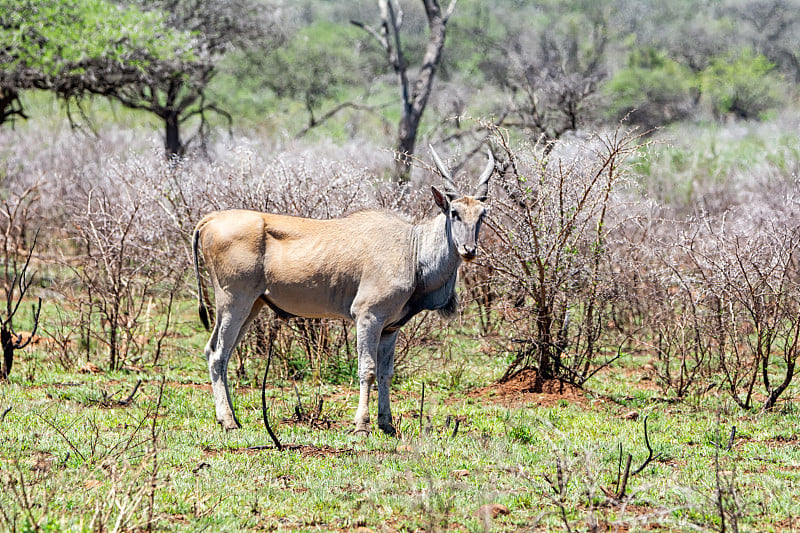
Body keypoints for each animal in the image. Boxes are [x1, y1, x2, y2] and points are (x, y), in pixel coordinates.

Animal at [194, 147, 494, 436]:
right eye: (454, 213)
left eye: (482, 215)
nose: (469, 250)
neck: (413, 248)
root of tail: (210, 219)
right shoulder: (368, 317)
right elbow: (368, 370)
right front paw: (362, 425)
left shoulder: (390, 328)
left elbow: (386, 373)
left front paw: (387, 424)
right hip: (235, 302)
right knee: (218, 354)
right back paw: (228, 421)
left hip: (252, 305)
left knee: (219, 352)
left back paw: (231, 418)